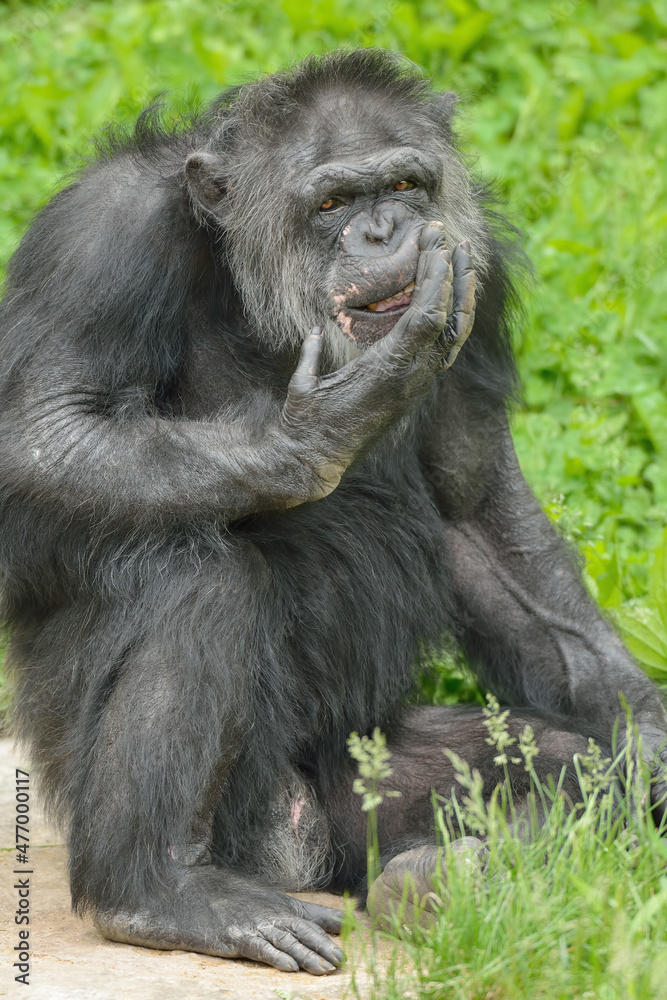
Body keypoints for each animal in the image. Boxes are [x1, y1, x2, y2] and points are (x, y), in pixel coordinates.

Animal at [1, 48, 667, 976]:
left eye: (404, 184)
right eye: (331, 204)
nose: (383, 230)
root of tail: (299, 854)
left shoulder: (477, 261)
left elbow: (476, 510)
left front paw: (650, 737)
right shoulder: (100, 239)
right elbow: (43, 434)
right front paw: (324, 424)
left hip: (364, 775)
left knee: (568, 763)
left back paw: (445, 878)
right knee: (194, 578)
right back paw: (165, 892)